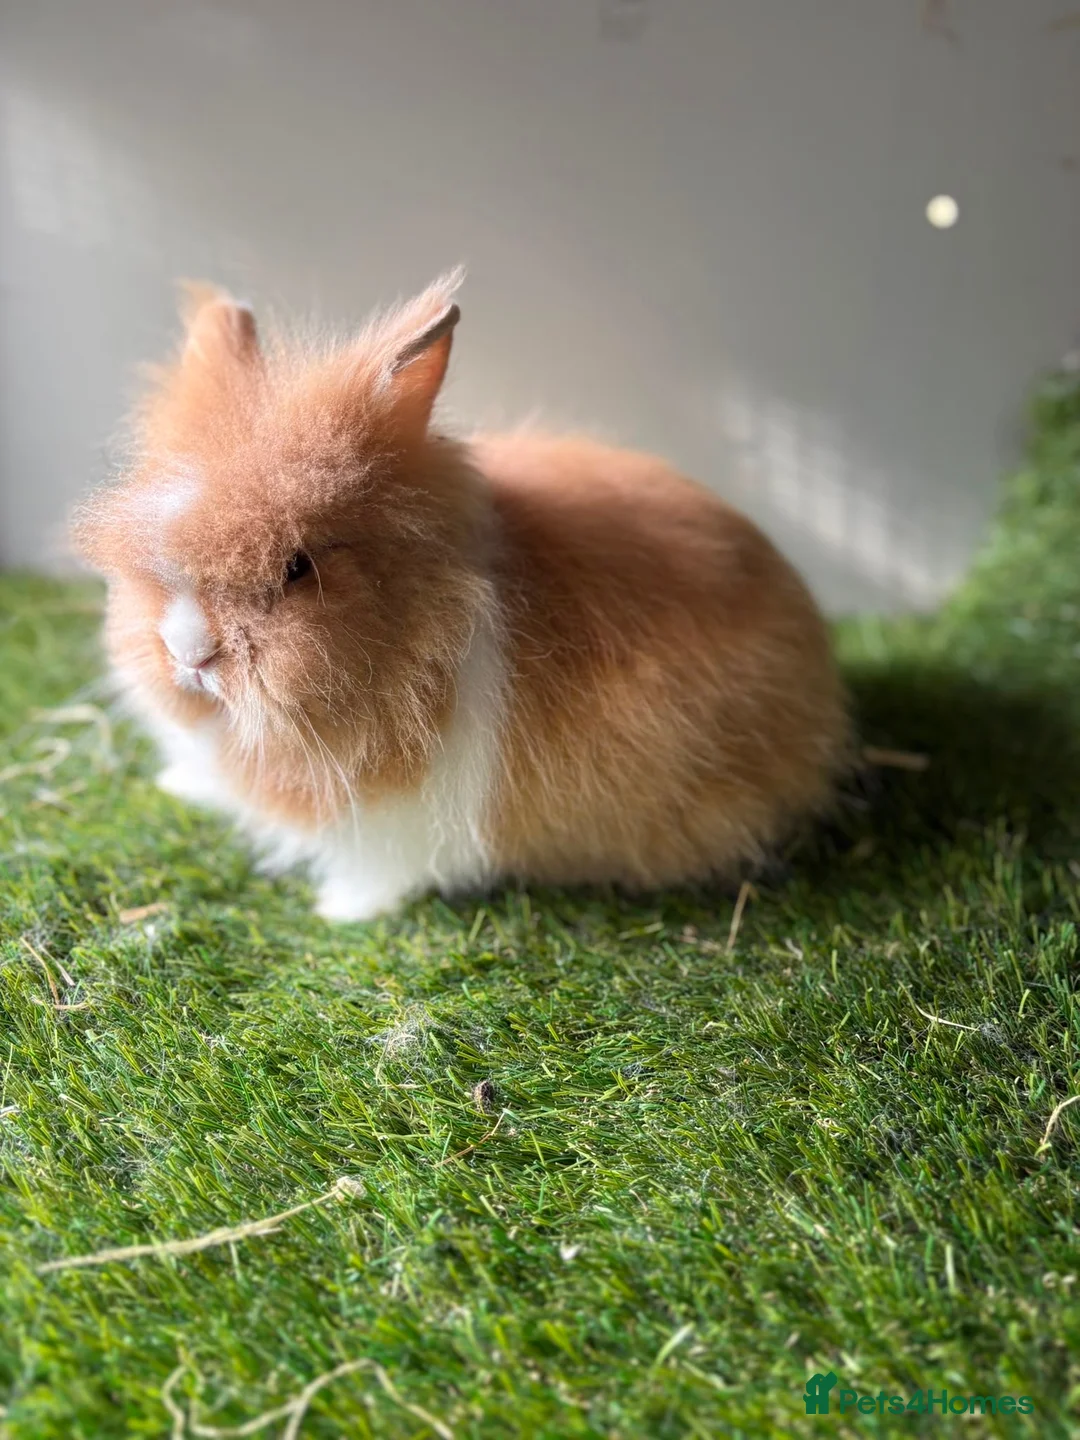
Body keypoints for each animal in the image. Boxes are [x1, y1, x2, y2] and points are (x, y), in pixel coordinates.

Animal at [74, 271, 850, 922]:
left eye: (297, 567)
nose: (189, 656)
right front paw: (183, 785)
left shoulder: (395, 829)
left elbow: (379, 874)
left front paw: (337, 912)